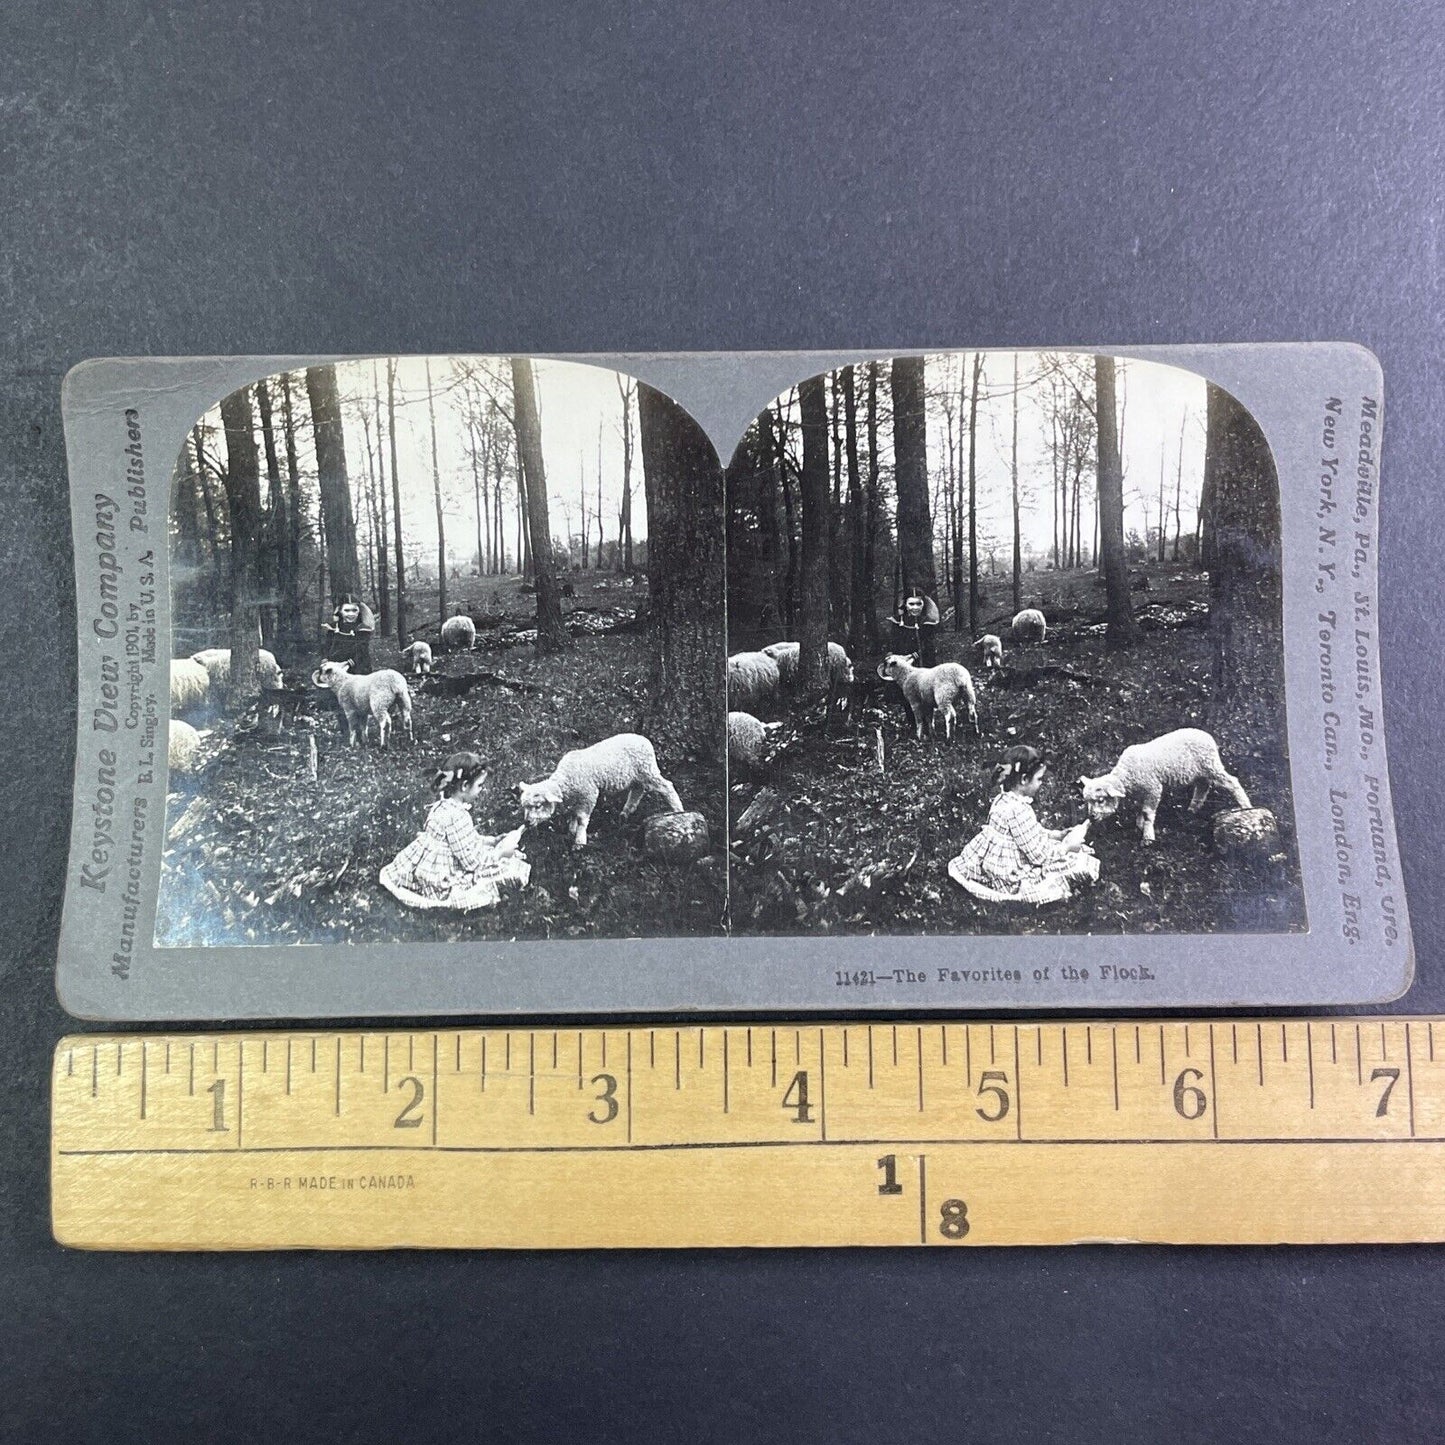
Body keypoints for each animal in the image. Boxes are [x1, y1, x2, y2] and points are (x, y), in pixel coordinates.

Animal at [514, 734, 682, 843]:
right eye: (524, 806)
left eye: (538, 806)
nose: (527, 823)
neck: (566, 779)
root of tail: (644, 739)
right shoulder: (576, 798)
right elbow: (573, 814)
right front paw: (571, 831)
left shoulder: (588, 794)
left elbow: (582, 818)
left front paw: (579, 841)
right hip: (637, 775)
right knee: (637, 791)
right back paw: (624, 814)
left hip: (648, 769)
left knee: (666, 786)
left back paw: (678, 809)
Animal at [1080, 722, 1248, 843]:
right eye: (1087, 801)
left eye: (1101, 800)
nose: (1091, 817)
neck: (1127, 774)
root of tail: (1207, 735)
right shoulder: (1142, 792)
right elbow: (1141, 809)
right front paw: (1140, 825)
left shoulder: (1153, 788)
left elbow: (1147, 812)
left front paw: (1148, 837)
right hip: (1200, 771)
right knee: (1202, 787)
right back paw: (1192, 809)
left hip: (1211, 764)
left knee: (1231, 782)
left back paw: (1245, 805)